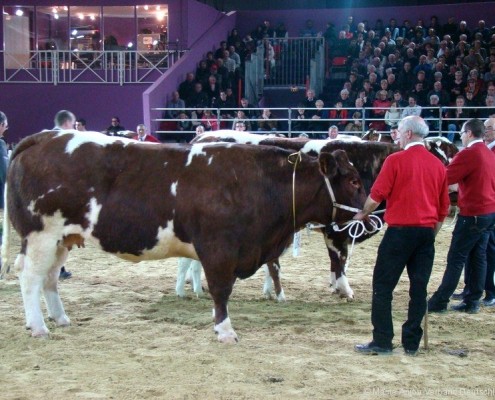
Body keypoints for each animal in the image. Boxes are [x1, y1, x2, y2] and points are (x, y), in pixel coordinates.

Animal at [0, 130, 368, 342]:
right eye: (352, 180)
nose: (370, 211)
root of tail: (45, 136)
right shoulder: (219, 249)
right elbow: (221, 290)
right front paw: (225, 331)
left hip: (62, 239)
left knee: (49, 279)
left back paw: (60, 318)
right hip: (40, 236)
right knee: (30, 278)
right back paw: (39, 327)